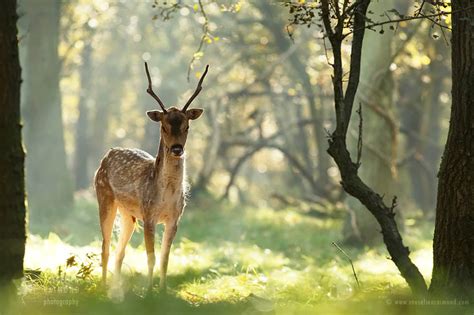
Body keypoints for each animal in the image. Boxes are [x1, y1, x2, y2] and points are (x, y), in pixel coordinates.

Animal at [93, 63, 208, 292]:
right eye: (164, 126)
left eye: (187, 126)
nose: (177, 149)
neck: (166, 196)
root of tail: (107, 155)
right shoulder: (148, 214)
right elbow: (151, 257)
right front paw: (148, 292)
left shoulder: (175, 218)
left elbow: (165, 258)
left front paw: (162, 291)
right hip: (104, 198)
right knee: (105, 247)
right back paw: (103, 287)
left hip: (128, 214)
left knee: (120, 252)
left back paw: (116, 289)